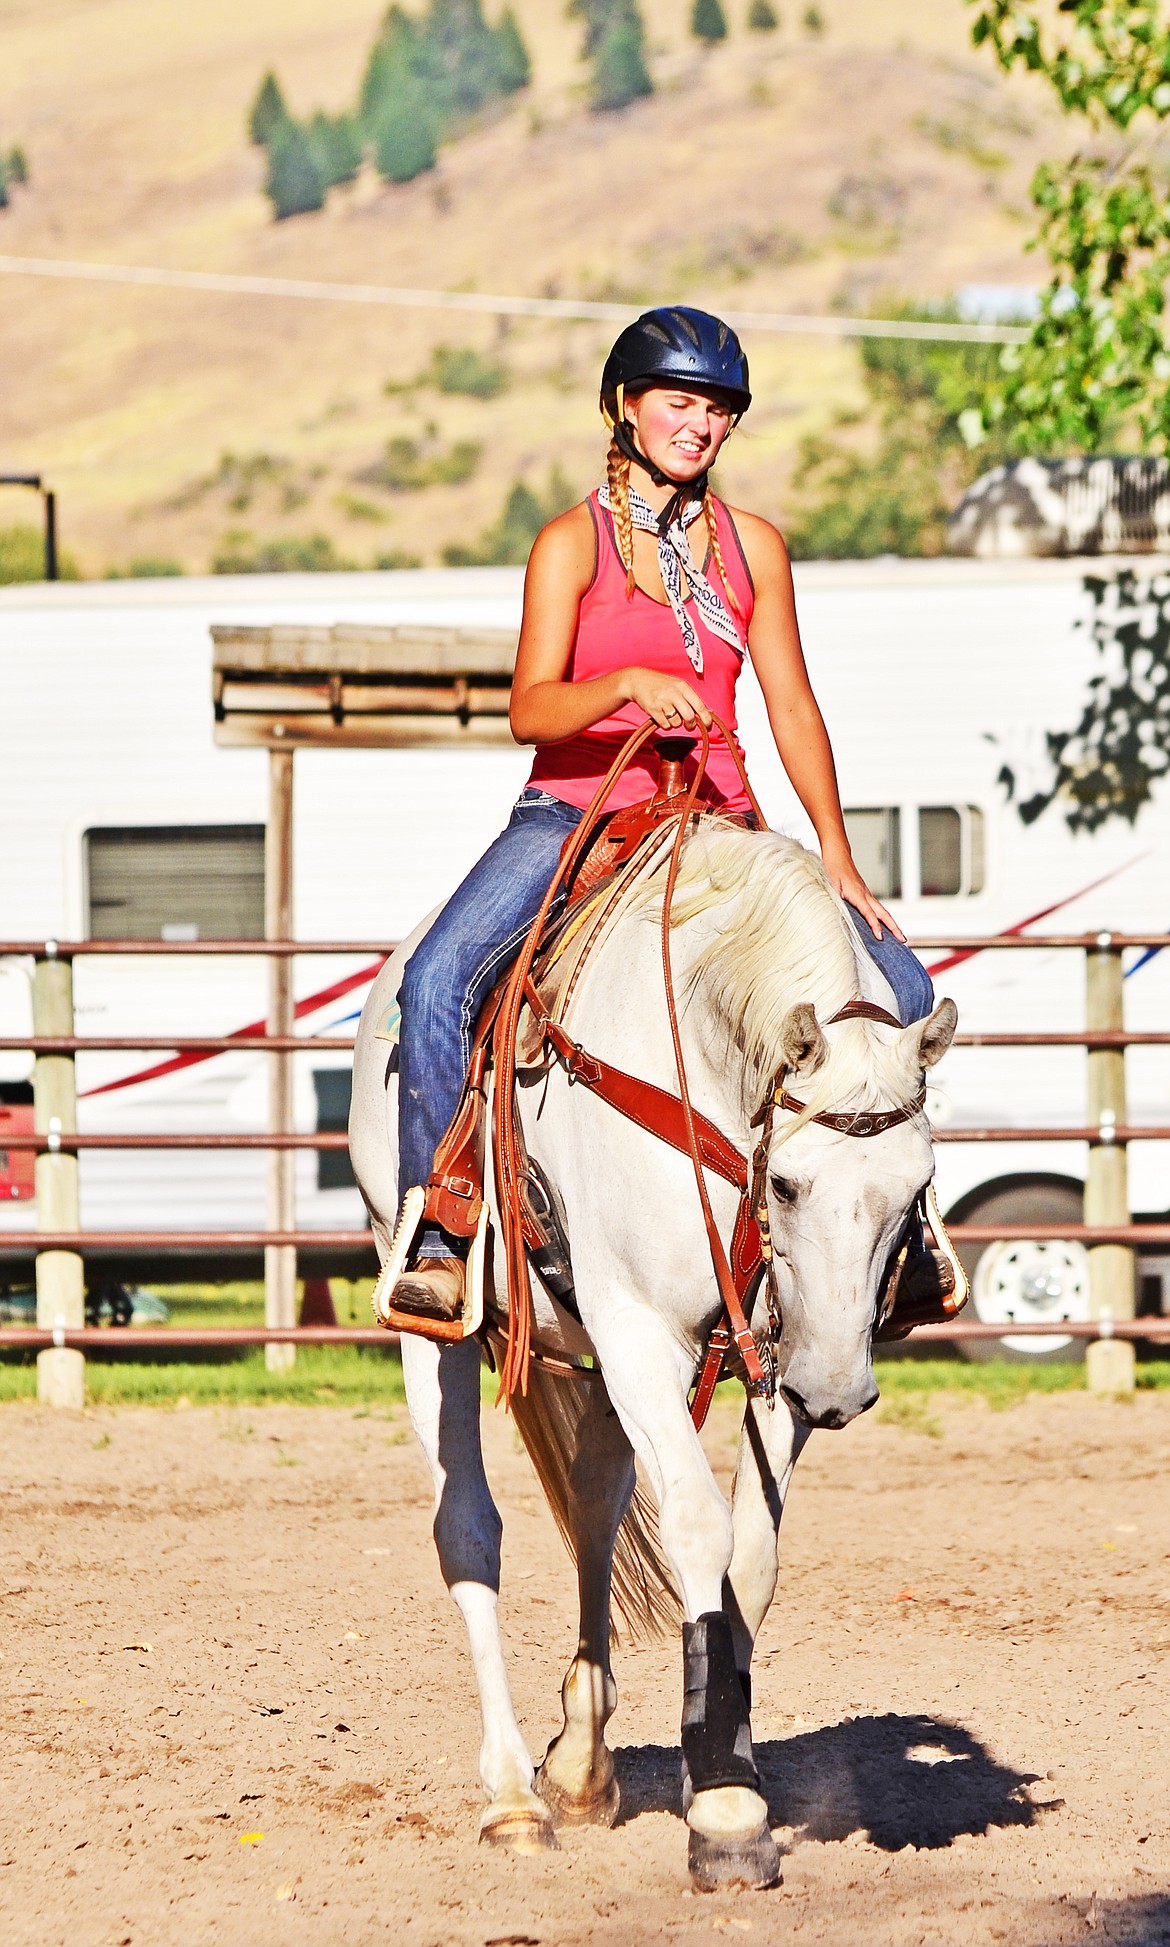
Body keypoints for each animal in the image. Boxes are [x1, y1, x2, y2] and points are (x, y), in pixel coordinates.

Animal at [350, 829, 953, 1892]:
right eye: (788, 1183)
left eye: (915, 1185)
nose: (839, 1390)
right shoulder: (640, 1330)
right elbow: (699, 1531)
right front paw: (725, 1813)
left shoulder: (777, 1345)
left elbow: (749, 1557)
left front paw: (722, 1762)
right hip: (437, 1322)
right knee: (468, 1525)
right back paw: (510, 1796)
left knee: (594, 1508)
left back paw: (581, 1764)